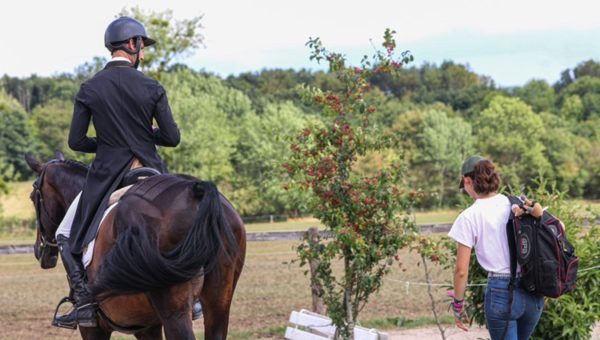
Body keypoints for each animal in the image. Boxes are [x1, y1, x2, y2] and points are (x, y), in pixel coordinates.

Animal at [25, 153, 246, 338]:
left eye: (33, 197)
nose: (39, 252)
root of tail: (195, 193)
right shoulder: (147, 326)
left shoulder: (94, 328)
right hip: (218, 304)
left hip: (174, 312)